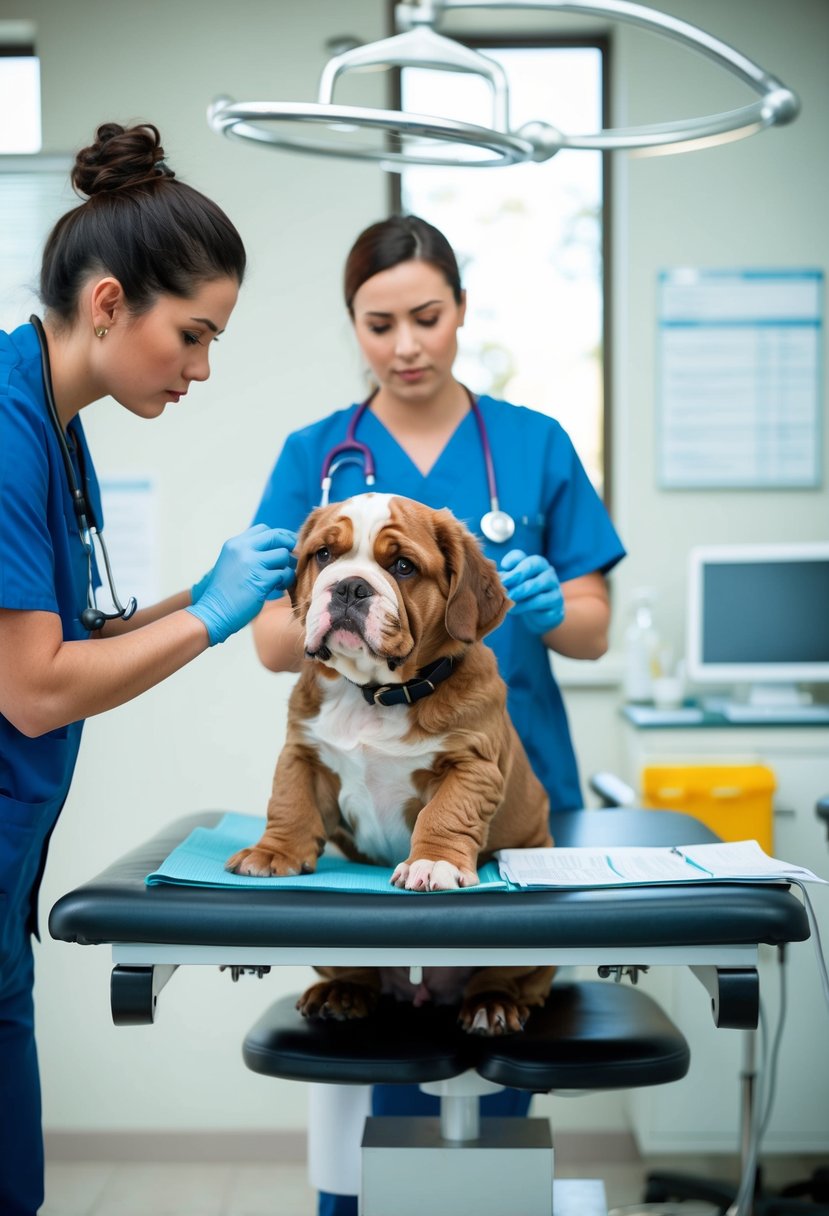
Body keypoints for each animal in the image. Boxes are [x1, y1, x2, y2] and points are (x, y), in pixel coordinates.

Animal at [224, 493, 554, 1036]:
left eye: (402, 567)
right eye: (323, 556)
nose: (350, 586)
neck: (377, 693)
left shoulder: (471, 767)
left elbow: (444, 816)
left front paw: (433, 864)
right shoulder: (303, 753)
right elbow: (290, 803)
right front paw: (273, 853)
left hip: (523, 961)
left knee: (507, 976)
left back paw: (492, 1005)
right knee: (356, 971)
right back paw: (341, 992)